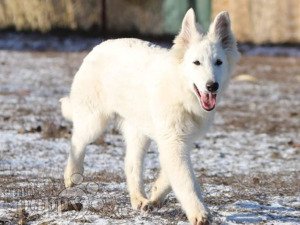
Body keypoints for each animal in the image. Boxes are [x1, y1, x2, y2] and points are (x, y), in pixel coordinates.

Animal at [60, 8, 239, 225]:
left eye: (218, 62)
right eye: (196, 63)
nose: (212, 86)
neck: (181, 92)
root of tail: (99, 46)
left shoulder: (180, 142)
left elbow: (172, 175)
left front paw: (156, 194)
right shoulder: (173, 142)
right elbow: (186, 180)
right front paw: (199, 212)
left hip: (138, 133)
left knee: (131, 165)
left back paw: (139, 199)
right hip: (94, 122)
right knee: (77, 140)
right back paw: (72, 174)